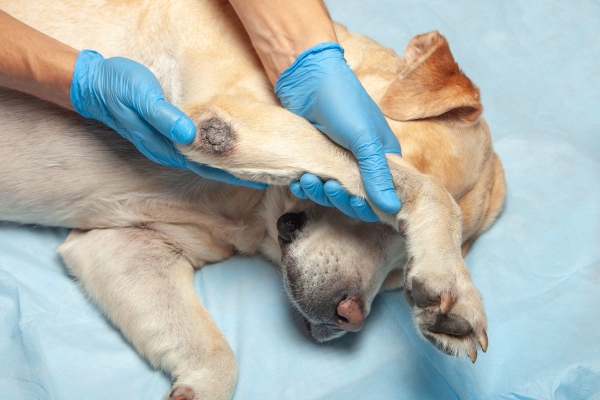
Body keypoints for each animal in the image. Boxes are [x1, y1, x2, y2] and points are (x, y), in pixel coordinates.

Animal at [0, 1, 506, 398]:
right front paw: (454, 281)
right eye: (374, 216)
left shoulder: (124, 247)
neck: (248, 211)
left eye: (401, 275)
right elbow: (424, 188)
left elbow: (217, 360)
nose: (350, 319)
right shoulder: (230, 118)